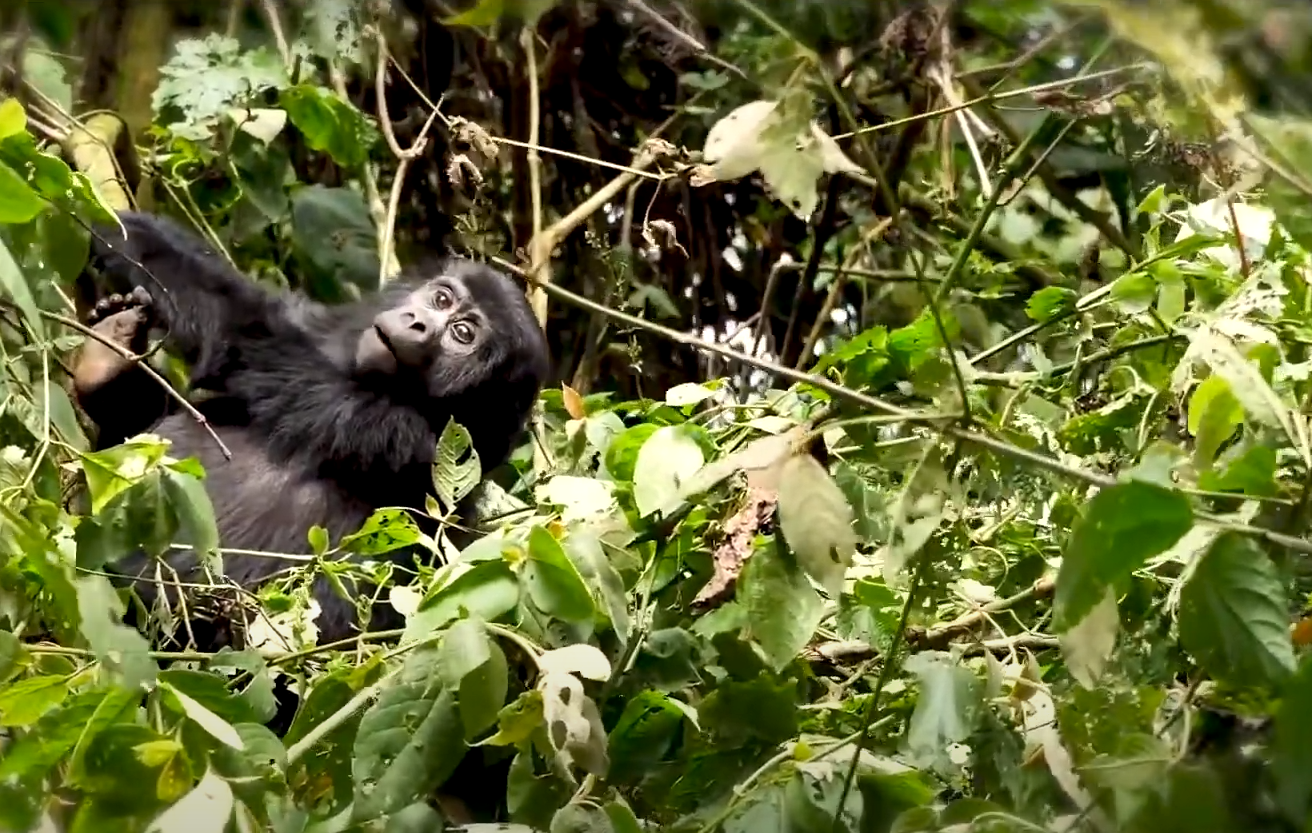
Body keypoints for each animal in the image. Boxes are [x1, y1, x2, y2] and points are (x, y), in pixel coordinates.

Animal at [69, 211, 551, 648]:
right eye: (443, 299)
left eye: (463, 334)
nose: (418, 322)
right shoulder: (315, 323)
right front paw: (122, 228)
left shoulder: (403, 432)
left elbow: (245, 332)